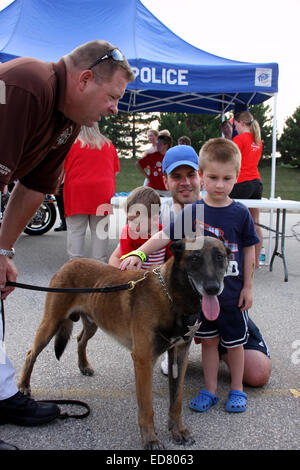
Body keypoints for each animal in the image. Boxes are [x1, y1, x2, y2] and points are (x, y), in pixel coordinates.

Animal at [18, 237, 230, 450]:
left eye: (220, 257)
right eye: (195, 258)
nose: (213, 288)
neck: (172, 296)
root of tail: (70, 262)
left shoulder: (179, 356)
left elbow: (176, 401)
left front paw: (178, 430)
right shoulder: (143, 361)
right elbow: (147, 407)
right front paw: (150, 439)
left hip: (93, 323)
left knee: (80, 339)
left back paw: (84, 365)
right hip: (51, 323)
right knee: (31, 354)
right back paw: (23, 386)